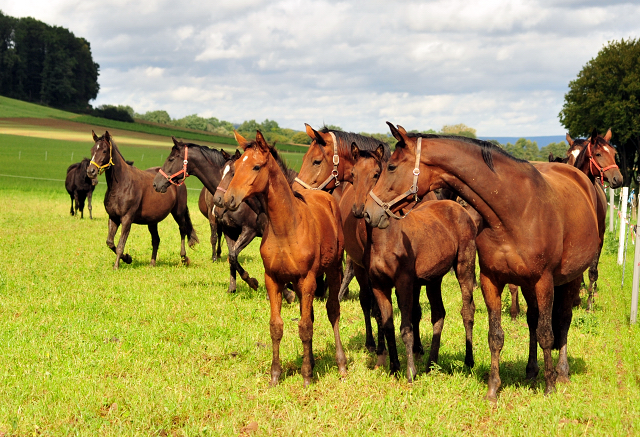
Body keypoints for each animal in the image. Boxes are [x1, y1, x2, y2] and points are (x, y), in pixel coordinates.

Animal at [86, 129, 198, 268]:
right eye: (92, 150)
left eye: (104, 151)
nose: (91, 171)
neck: (121, 185)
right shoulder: (113, 218)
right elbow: (110, 242)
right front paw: (128, 258)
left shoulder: (127, 219)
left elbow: (120, 245)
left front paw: (117, 266)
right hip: (153, 221)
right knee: (156, 240)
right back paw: (152, 263)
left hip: (178, 212)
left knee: (182, 230)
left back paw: (184, 258)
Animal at [152, 136, 262, 292]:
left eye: (171, 159)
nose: (156, 183)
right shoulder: (227, 228)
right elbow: (231, 255)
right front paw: (233, 287)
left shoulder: (249, 230)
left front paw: (252, 282)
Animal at [348, 141, 478, 380]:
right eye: (352, 174)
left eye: (377, 174)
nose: (364, 212)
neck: (385, 240)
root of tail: (459, 208)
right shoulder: (379, 285)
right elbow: (388, 325)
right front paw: (394, 367)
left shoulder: (404, 284)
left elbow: (406, 328)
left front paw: (410, 372)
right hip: (434, 279)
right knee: (438, 314)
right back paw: (431, 363)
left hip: (464, 267)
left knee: (468, 310)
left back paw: (468, 361)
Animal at [362, 122, 604, 398]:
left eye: (391, 167)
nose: (369, 211)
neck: (514, 211)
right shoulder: (491, 280)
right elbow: (496, 336)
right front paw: (493, 388)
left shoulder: (544, 281)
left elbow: (547, 333)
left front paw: (550, 385)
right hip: (528, 285)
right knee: (532, 320)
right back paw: (531, 371)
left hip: (569, 278)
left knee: (562, 320)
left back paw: (561, 372)